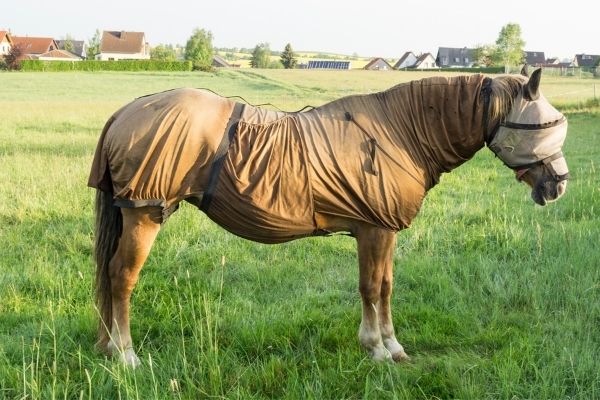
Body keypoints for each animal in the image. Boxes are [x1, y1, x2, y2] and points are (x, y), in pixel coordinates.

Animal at [88, 65, 568, 366]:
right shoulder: (373, 230)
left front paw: (393, 346)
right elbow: (371, 287)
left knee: (111, 276)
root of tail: (125, 112)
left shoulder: (384, 231)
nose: (559, 184)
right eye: (543, 125)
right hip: (145, 215)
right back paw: (125, 353)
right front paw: (376, 348)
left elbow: (386, 286)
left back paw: (108, 348)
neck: (402, 132)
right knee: (121, 277)